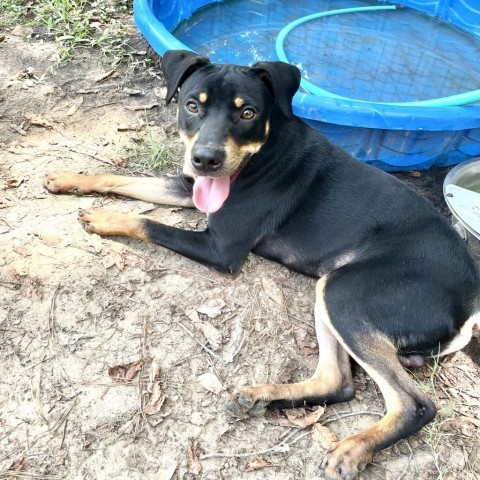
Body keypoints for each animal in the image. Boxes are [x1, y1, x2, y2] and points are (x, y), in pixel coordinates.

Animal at [42, 49, 480, 480]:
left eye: (248, 112)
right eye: (192, 105)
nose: (205, 159)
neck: (262, 151)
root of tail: (469, 306)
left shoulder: (220, 248)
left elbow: (148, 222)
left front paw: (103, 217)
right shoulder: (190, 186)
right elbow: (124, 178)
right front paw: (67, 178)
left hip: (344, 294)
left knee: (414, 404)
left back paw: (354, 448)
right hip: (331, 294)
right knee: (337, 382)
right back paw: (263, 398)